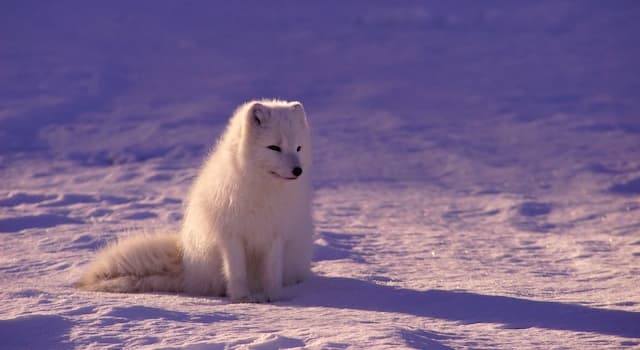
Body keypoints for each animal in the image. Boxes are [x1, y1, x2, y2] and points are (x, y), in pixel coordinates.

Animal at [79, 98, 314, 300]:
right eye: (274, 147)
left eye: (298, 148)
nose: (298, 170)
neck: (264, 190)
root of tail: (187, 265)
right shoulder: (230, 234)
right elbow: (236, 271)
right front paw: (242, 298)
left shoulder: (276, 234)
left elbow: (272, 272)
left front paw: (274, 297)